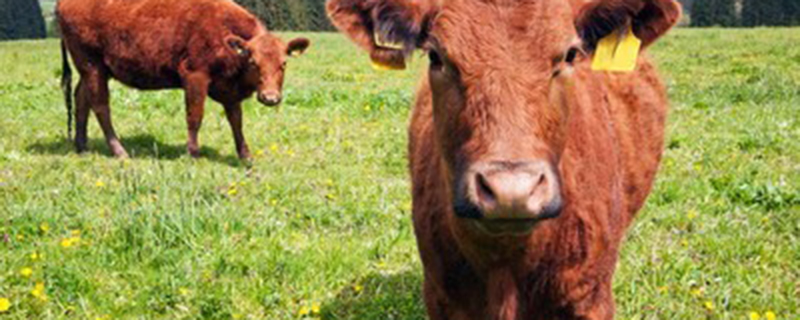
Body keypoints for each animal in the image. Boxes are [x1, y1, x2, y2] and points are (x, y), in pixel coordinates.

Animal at [56, 0, 310, 159]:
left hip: (92, 70)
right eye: (253, 62)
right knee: (100, 106)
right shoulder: (195, 76)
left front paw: (245, 155)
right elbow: (194, 116)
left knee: (81, 99)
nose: (270, 97)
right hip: (91, 64)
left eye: (284, 63)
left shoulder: (229, 90)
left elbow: (236, 120)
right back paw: (119, 151)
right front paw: (193, 153)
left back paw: (82, 147)